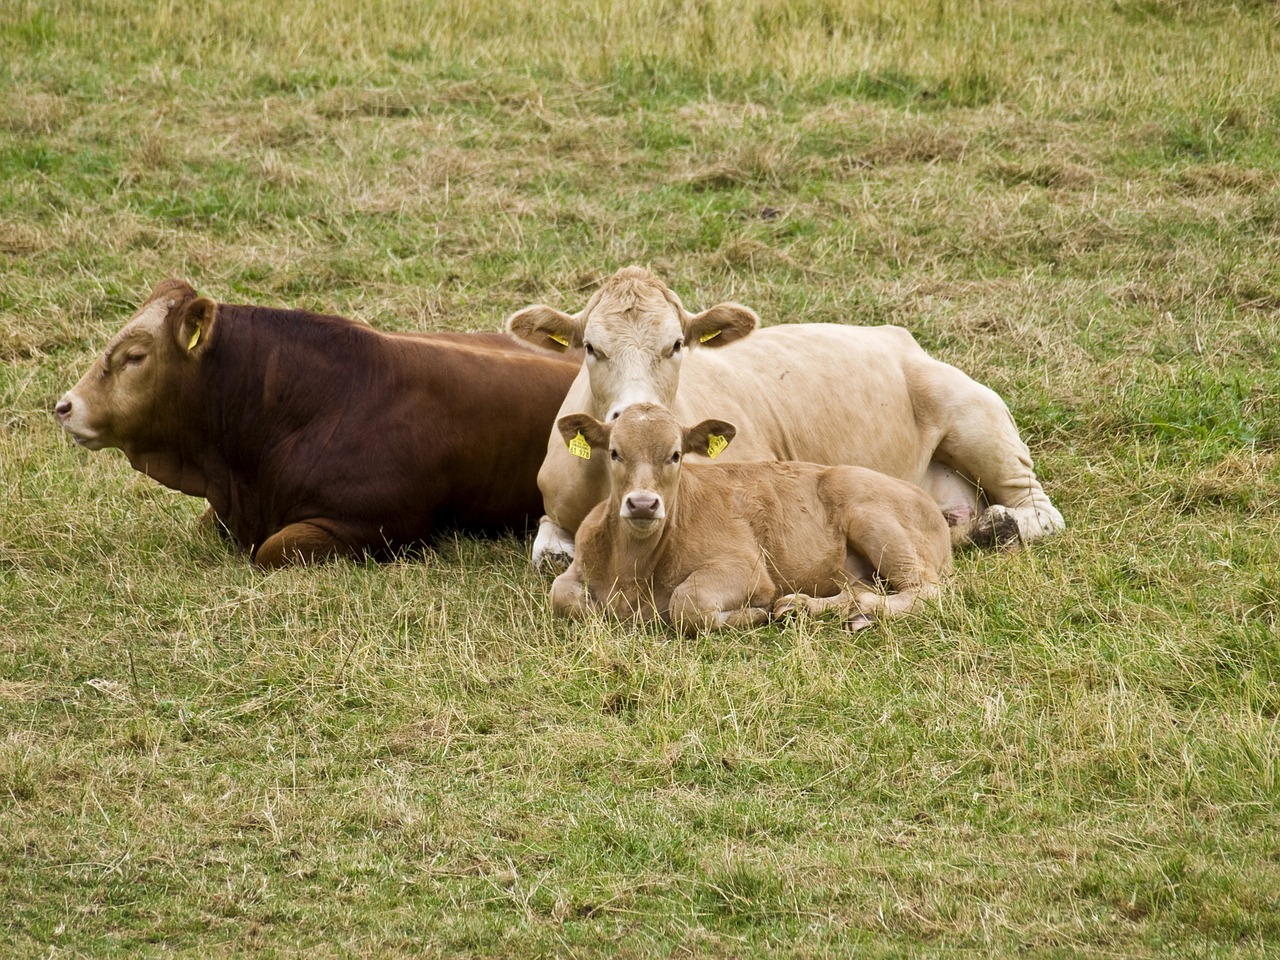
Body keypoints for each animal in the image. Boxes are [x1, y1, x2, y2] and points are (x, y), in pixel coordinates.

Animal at [504, 267, 1064, 568]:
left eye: (677, 344)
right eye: (591, 348)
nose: (636, 413)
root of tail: (897, 336)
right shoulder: (553, 506)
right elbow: (551, 550)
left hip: (976, 418)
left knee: (1041, 511)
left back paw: (1000, 527)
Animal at [550, 404, 952, 634]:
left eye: (676, 454)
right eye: (614, 452)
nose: (643, 504)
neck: (632, 573)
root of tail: (929, 503)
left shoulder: (747, 568)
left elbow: (687, 604)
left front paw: (754, 614)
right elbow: (561, 594)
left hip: (876, 521)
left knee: (927, 592)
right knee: (865, 589)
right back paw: (809, 608)